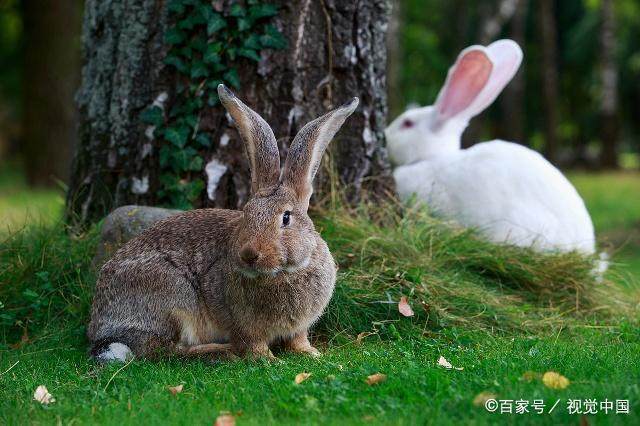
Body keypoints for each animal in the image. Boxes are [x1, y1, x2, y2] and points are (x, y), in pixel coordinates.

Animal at [88, 85, 360, 362]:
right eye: (246, 213)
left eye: (286, 217)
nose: (249, 254)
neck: (283, 272)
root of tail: (102, 329)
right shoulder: (244, 326)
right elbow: (254, 345)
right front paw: (270, 360)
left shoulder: (299, 327)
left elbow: (298, 340)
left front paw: (312, 354)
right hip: (174, 295)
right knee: (165, 350)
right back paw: (222, 351)